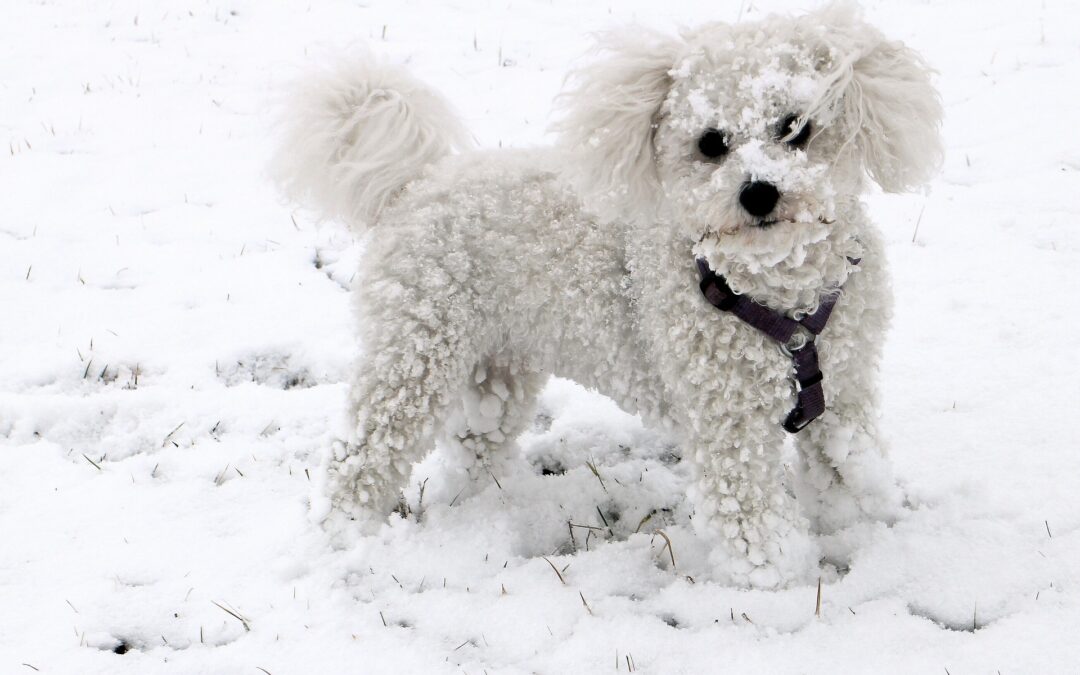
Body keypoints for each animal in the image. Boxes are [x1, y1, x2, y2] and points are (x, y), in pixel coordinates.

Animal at [274, 2, 941, 587]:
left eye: (795, 128)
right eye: (711, 142)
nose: (758, 193)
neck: (780, 297)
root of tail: (418, 182)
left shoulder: (845, 392)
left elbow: (845, 468)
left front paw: (859, 527)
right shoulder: (727, 424)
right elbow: (750, 516)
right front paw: (780, 582)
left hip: (498, 365)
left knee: (474, 446)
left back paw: (489, 509)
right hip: (413, 355)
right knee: (360, 454)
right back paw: (343, 533)